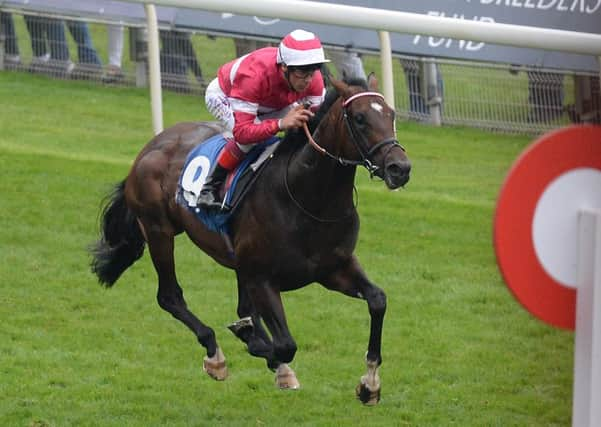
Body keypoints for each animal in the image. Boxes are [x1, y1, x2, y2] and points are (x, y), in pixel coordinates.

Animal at [89, 75, 408, 406]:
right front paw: (258, 347)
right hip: (159, 231)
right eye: (359, 118)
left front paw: (369, 384)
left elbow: (378, 300)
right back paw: (216, 354)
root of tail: (152, 145)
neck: (309, 199)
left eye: (391, 115)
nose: (400, 168)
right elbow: (284, 344)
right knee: (169, 296)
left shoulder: (333, 268)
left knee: (240, 307)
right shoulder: (263, 277)